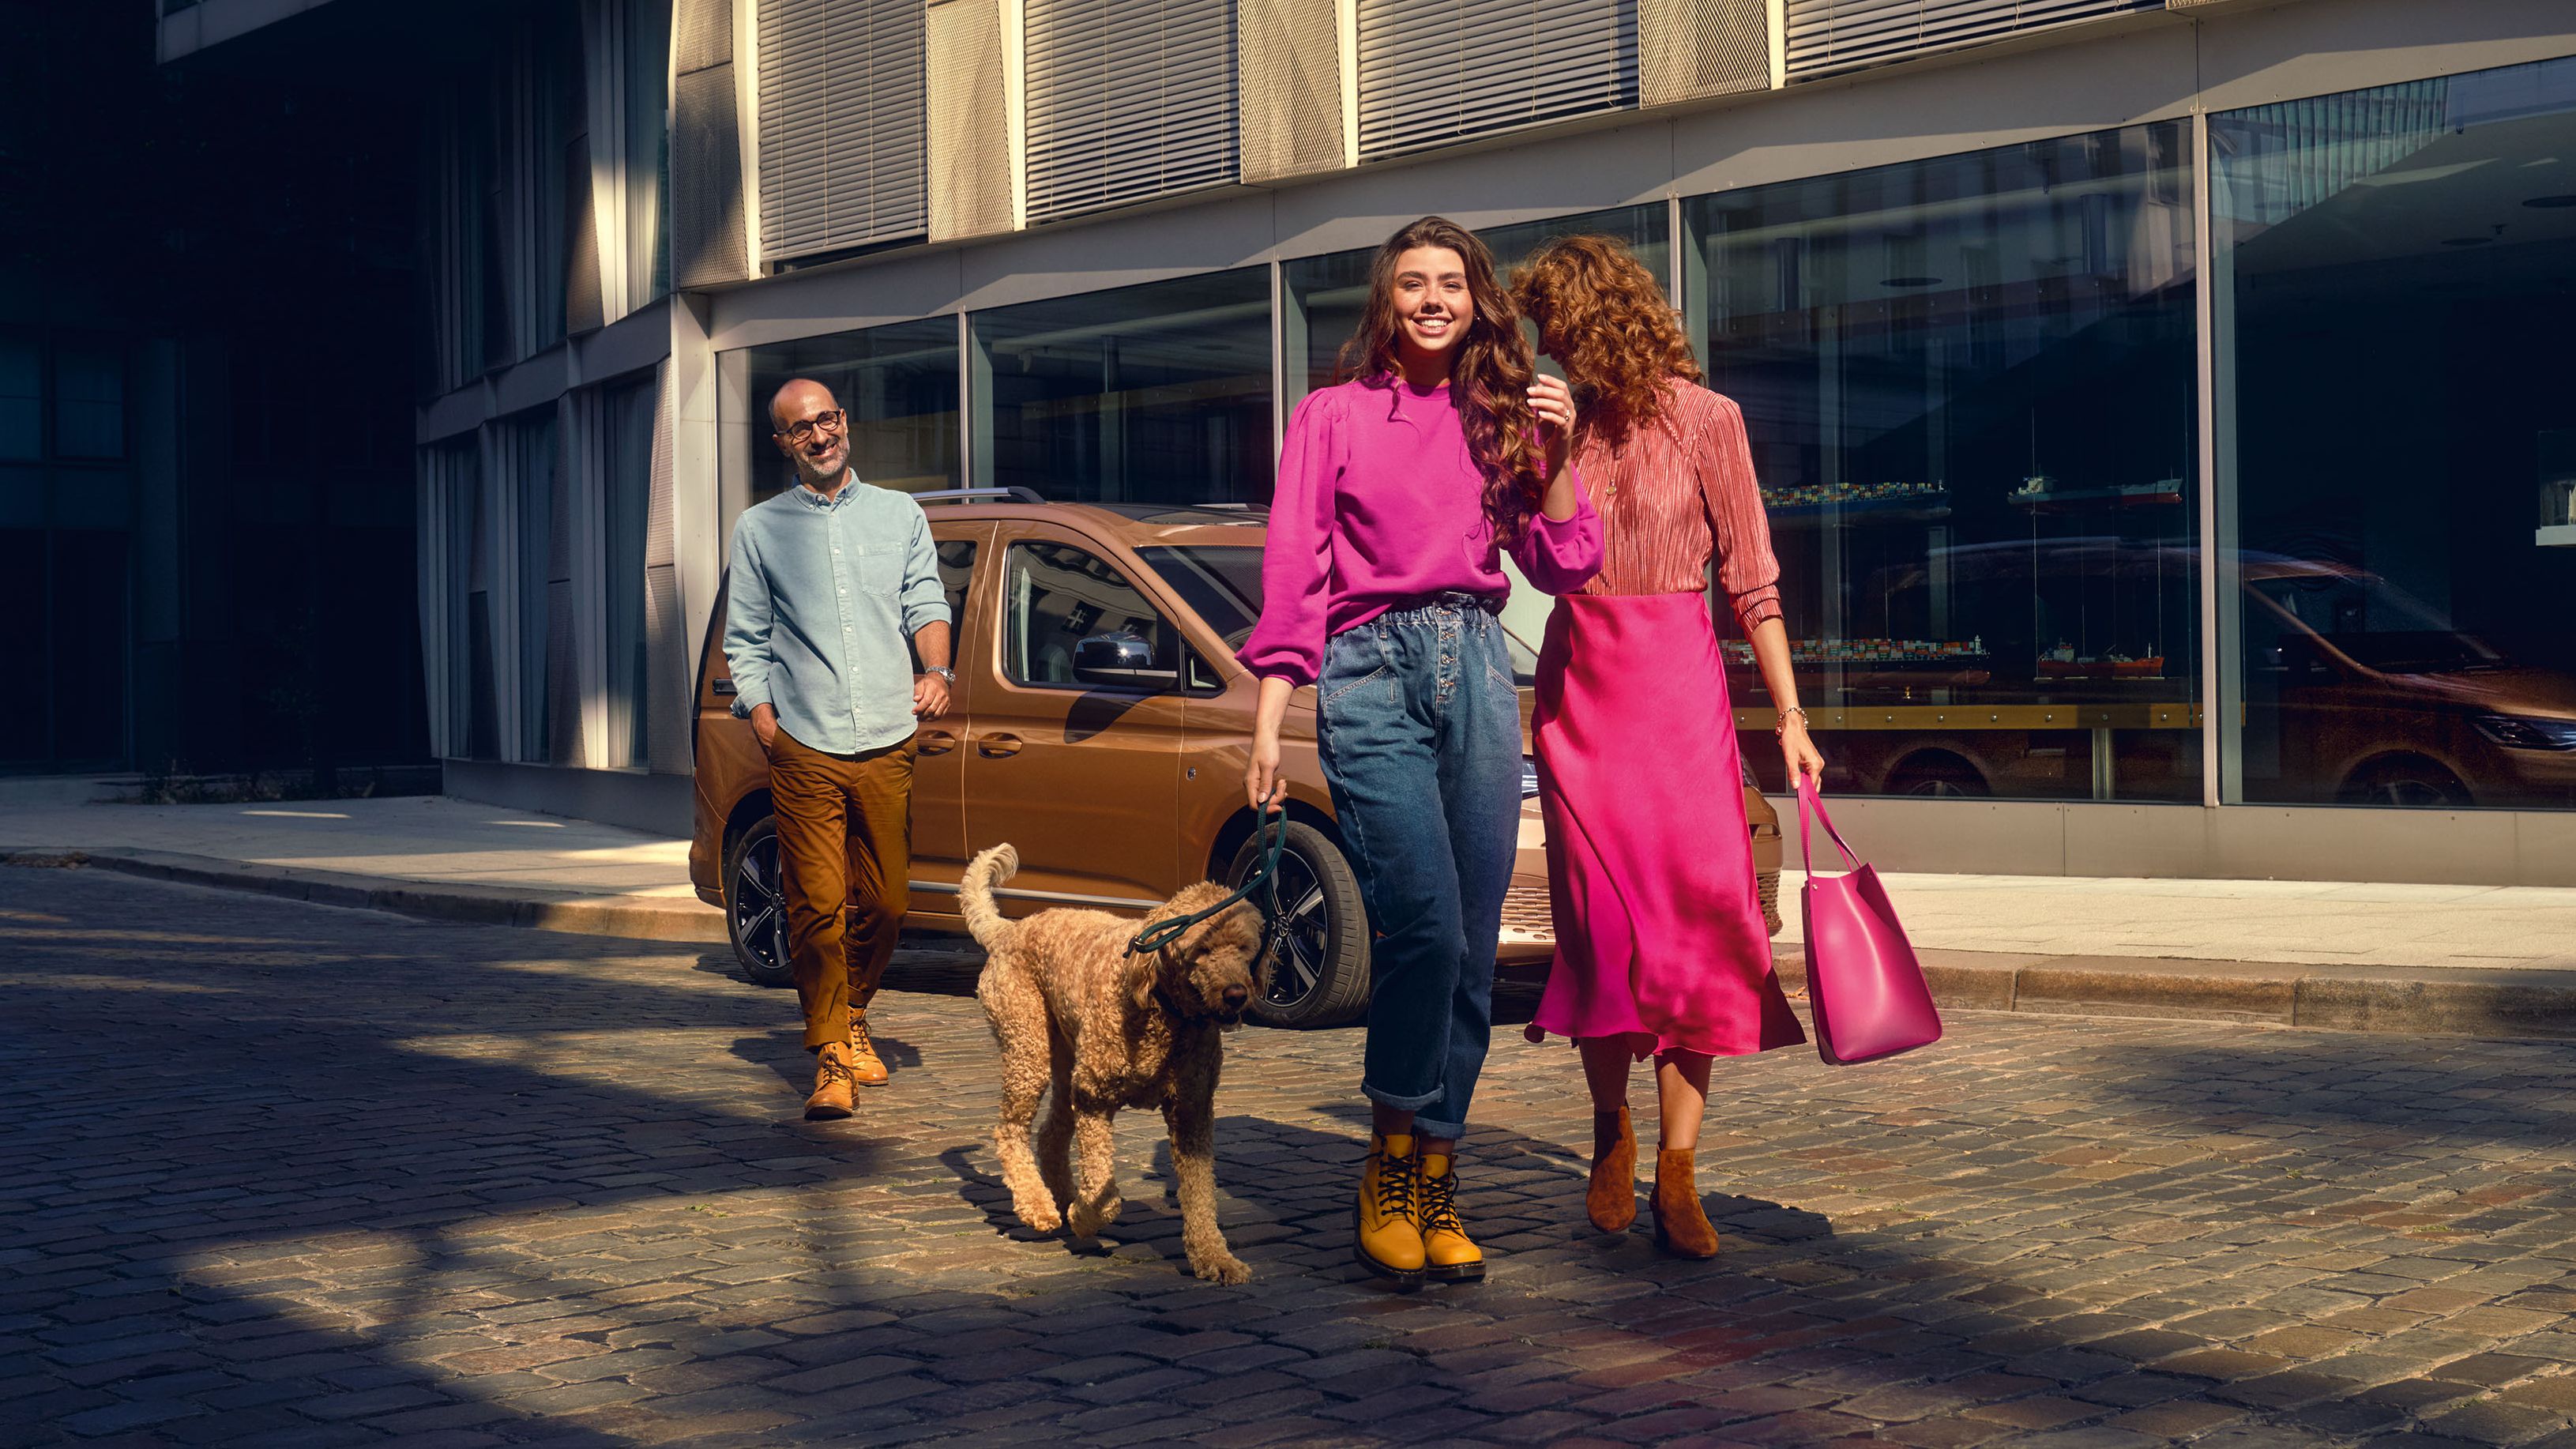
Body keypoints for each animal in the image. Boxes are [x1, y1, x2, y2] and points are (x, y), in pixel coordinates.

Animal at [968, 840, 1267, 1278]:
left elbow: (1199, 1194)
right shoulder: (1093, 1095)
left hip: (1065, 1061)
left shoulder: (1192, 1110)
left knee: (1050, 1135)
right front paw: (1085, 1217)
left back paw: (1062, 1197)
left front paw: (1214, 1257)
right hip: (1029, 1048)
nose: (1236, 995)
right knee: (1009, 1132)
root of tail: (1009, 930)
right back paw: (1039, 1206)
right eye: (1201, 949)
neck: (1165, 1013)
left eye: (1246, 949)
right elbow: (1104, 1186)